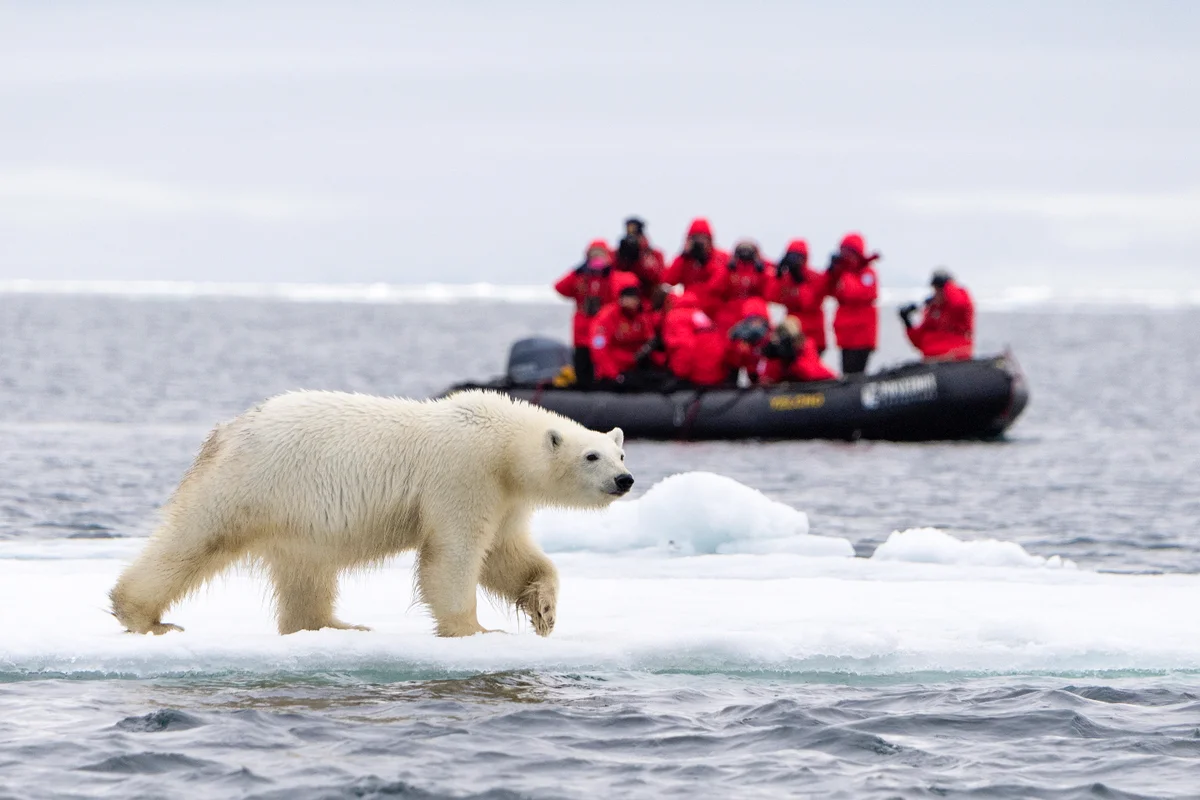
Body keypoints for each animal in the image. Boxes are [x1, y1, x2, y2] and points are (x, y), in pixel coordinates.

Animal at [111, 388, 633, 638]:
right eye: (591, 456)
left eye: (620, 453)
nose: (625, 480)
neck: (502, 443)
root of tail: (226, 431)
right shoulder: (463, 474)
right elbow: (454, 554)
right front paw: (476, 629)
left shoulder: (505, 497)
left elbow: (507, 555)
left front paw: (544, 610)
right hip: (252, 483)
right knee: (194, 539)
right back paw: (144, 617)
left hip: (294, 515)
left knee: (306, 572)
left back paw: (335, 625)